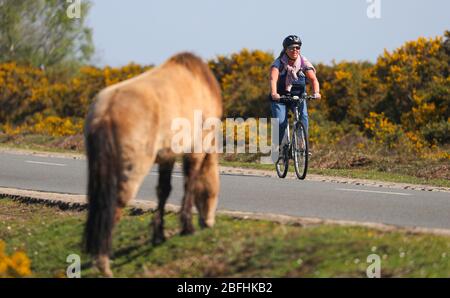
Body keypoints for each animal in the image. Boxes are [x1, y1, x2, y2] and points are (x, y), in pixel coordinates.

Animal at [83, 51, 223, 278]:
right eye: (214, 192)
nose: (209, 222)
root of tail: (106, 112)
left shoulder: (167, 156)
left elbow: (163, 191)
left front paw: (159, 234)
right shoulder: (196, 147)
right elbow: (190, 183)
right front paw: (187, 227)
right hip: (133, 169)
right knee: (115, 206)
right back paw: (103, 263)